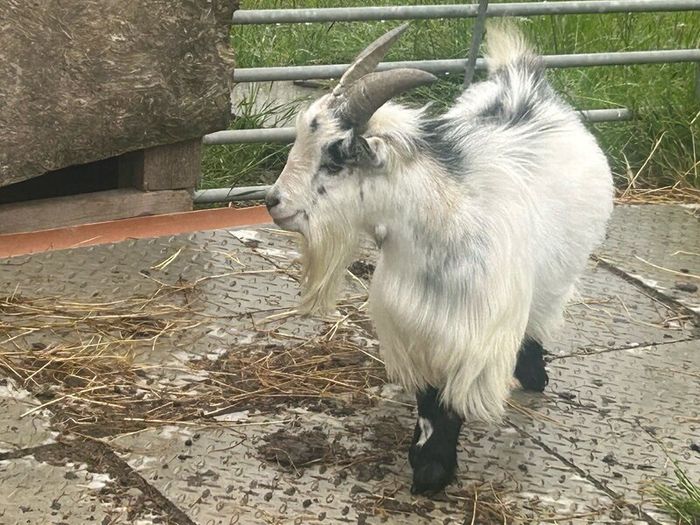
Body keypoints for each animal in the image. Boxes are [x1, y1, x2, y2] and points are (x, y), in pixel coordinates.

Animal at [265, 22, 613, 494]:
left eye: (336, 158)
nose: (273, 202)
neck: (447, 218)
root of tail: (523, 81)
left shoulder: (473, 331)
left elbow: (450, 399)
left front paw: (433, 469)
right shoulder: (414, 326)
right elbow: (430, 396)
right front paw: (424, 458)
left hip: (559, 275)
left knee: (539, 318)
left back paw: (534, 375)